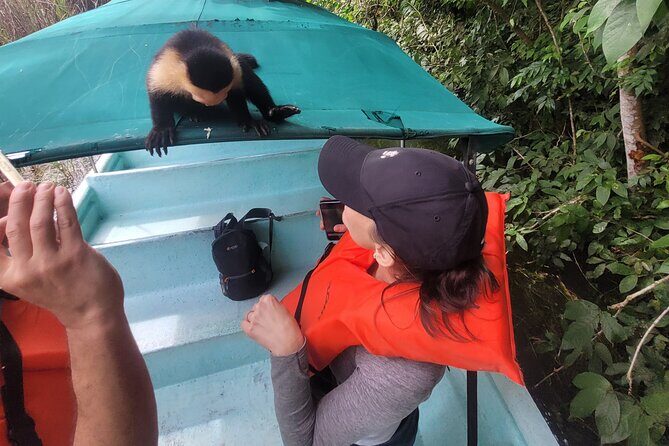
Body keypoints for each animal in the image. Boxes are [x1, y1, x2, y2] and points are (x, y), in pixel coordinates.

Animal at [145, 29, 301, 156]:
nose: (209, 105)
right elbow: (158, 95)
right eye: (199, 99)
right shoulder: (164, 71)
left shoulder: (234, 69)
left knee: (248, 75)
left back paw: (274, 112)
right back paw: (194, 113)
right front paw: (162, 129)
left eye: (225, 94)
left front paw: (247, 120)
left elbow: (238, 92)